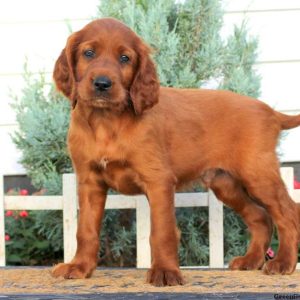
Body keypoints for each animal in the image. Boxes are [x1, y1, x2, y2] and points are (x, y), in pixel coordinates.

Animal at [51, 18, 300, 286]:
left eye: (125, 58)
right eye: (88, 53)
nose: (102, 84)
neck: (106, 122)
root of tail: (272, 112)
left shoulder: (158, 180)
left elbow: (162, 231)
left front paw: (165, 271)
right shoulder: (90, 182)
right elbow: (85, 229)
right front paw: (80, 266)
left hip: (257, 175)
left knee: (288, 213)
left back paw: (284, 262)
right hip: (225, 182)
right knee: (260, 216)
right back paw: (251, 260)